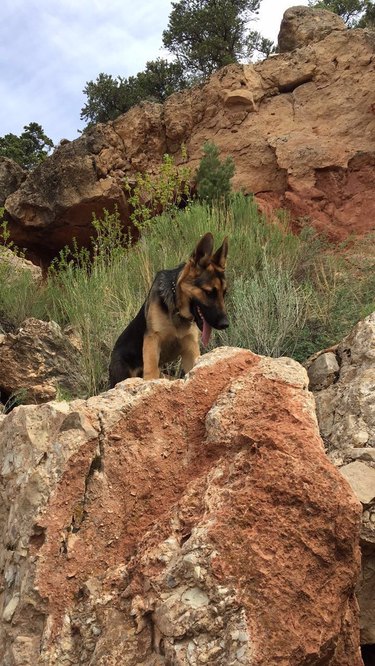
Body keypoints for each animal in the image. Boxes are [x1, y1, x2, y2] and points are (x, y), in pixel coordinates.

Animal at [108, 231, 229, 384]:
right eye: (208, 292)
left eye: (224, 293)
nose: (225, 324)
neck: (176, 310)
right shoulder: (152, 340)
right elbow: (151, 373)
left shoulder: (190, 347)